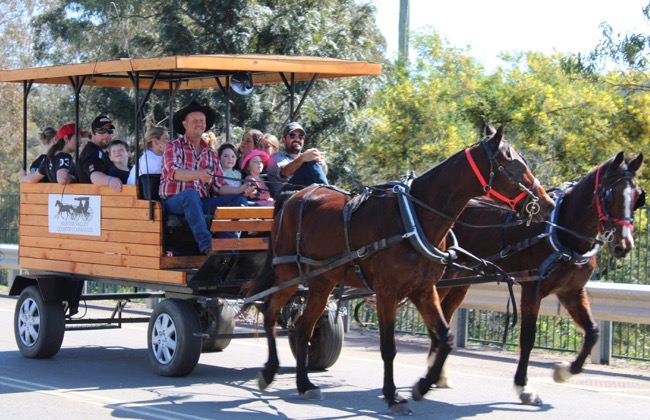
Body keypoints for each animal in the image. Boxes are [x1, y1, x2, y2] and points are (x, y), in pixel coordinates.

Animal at [246, 126, 556, 416]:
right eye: (514, 165)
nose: (547, 203)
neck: (414, 218)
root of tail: (292, 196)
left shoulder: (424, 290)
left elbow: (444, 338)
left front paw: (423, 385)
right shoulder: (387, 292)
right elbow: (389, 347)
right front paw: (393, 396)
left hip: (322, 282)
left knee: (302, 329)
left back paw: (305, 384)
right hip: (288, 273)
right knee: (270, 312)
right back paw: (269, 371)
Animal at [432, 153, 640, 406]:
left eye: (638, 196)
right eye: (610, 195)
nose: (624, 245)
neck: (562, 232)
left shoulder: (571, 292)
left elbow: (592, 332)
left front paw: (565, 371)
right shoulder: (532, 288)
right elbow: (528, 338)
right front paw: (524, 387)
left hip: (462, 278)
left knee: (444, 313)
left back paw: (439, 373)